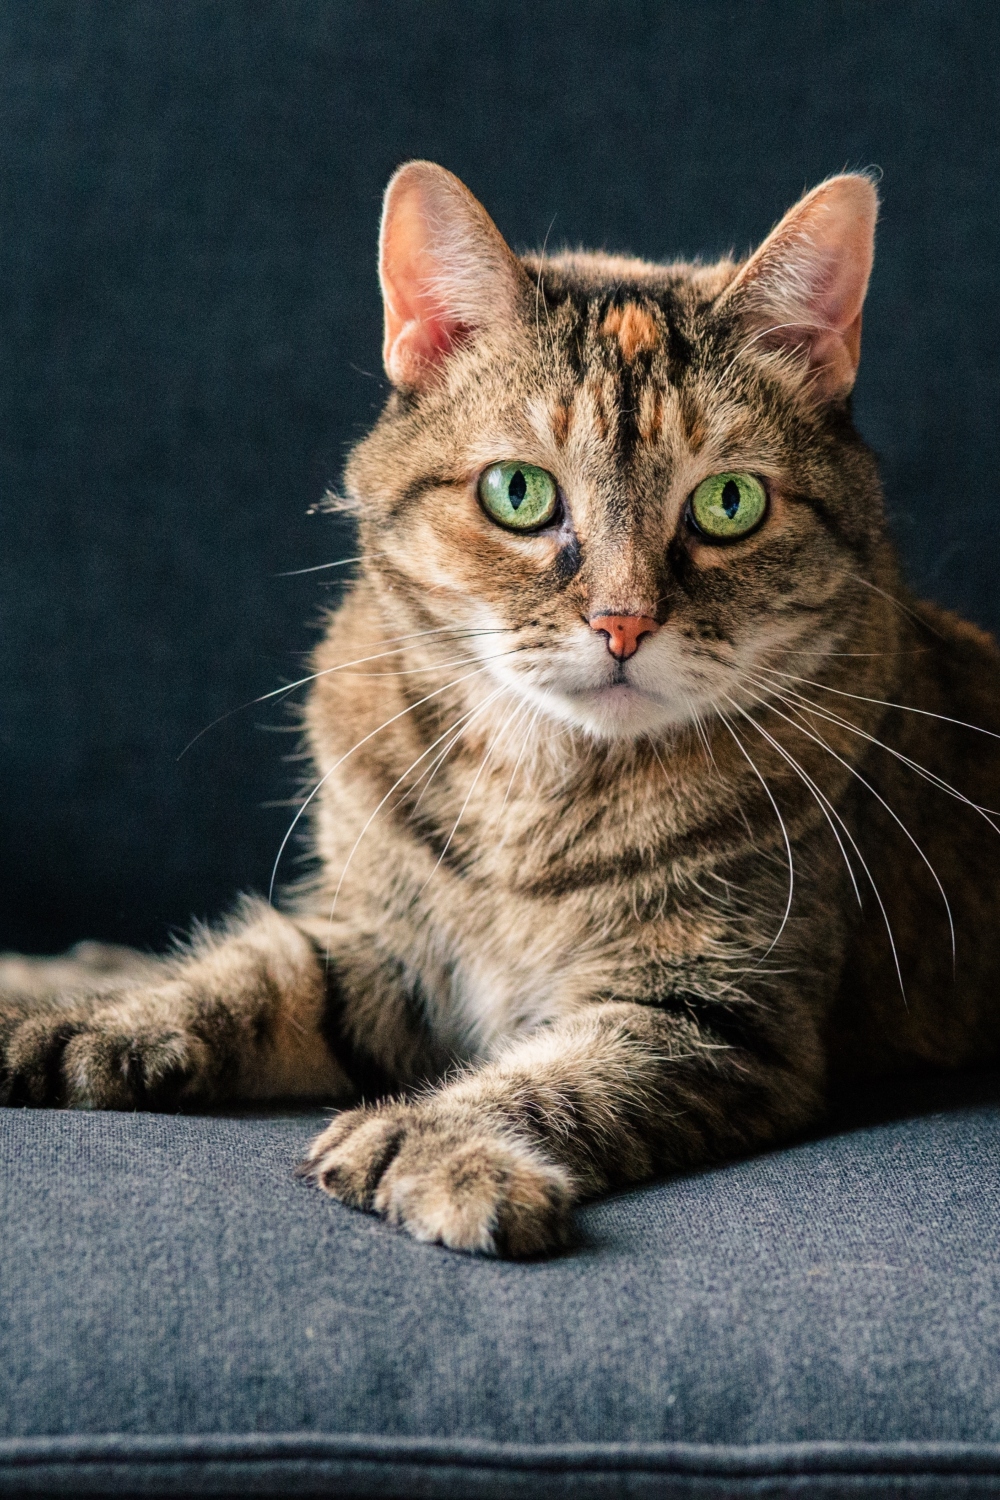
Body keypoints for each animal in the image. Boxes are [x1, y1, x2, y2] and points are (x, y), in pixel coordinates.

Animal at [1, 164, 1000, 1260]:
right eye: (518, 492)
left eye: (729, 503)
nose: (622, 622)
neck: (533, 791)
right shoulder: (382, 946)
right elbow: (252, 976)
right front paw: (91, 1023)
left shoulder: (714, 1014)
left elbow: (558, 1077)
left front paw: (439, 1147)